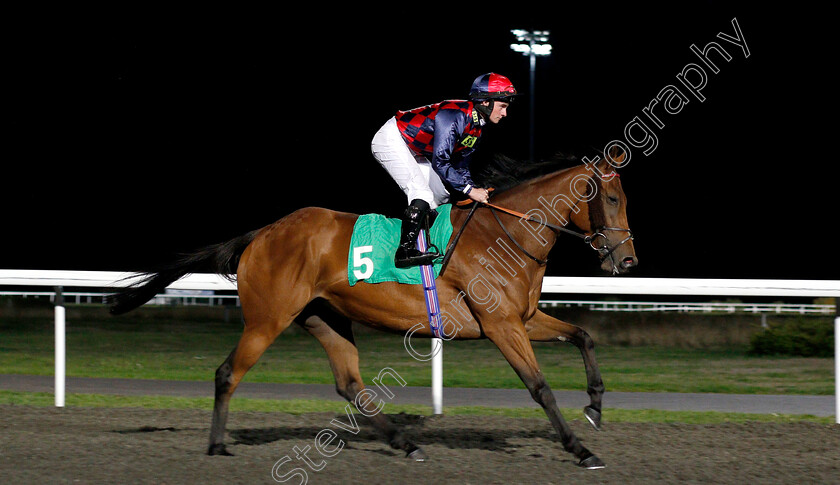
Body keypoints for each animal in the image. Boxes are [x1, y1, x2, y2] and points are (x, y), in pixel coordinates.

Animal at [110, 152, 636, 468]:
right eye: (610, 198)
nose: (628, 262)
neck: (505, 235)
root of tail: (262, 233)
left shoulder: (524, 318)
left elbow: (583, 335)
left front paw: (595, 406)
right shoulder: (502, 325)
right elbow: (540, 387)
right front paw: (581, 448)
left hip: (325, 317)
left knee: (350, 385)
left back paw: (407, 442)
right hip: (267, 319)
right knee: (227, 373)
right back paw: (217, 445)